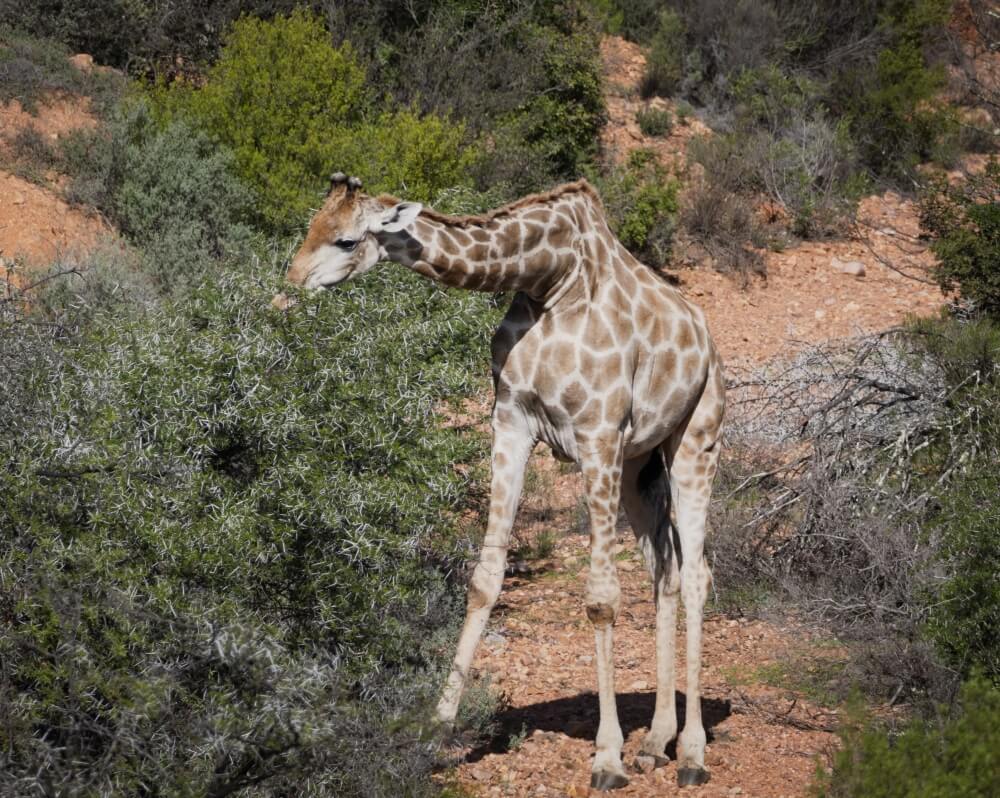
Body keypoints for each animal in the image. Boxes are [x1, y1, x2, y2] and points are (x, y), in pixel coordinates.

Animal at [274, 172, 725, 790]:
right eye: (311, 226)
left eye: (346, 240)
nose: (285, 294)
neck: (548, 277)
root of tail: (706, 338)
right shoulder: (511, 420)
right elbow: (485, 579)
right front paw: (434, 732)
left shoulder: (598, 432)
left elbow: (601, 599)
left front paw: (606, 758)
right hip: (640, 464)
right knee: (667, 570)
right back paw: (656, 742)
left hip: (695, 438)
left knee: (699, 573)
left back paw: (692, 755)